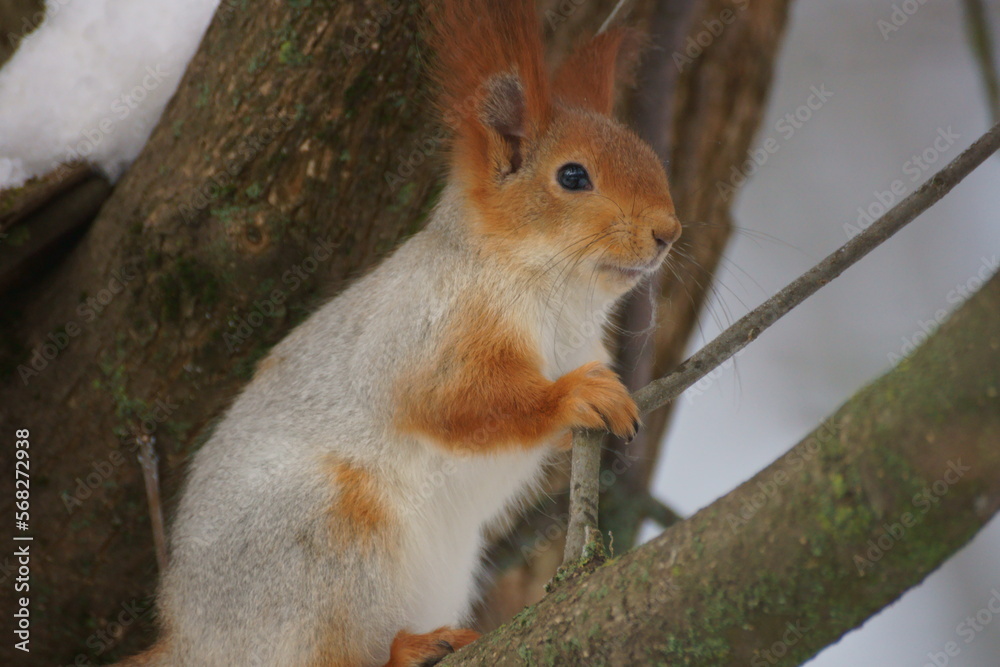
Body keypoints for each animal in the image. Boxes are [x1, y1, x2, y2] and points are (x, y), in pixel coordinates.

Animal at [119, 1, 680, 665]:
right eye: (573, 177)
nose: (669, 231)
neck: (557, 299)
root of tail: (191, 641)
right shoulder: (431, 332)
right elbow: (462, 403)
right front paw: (576, 396)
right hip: (322, 540)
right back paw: (409, 648)